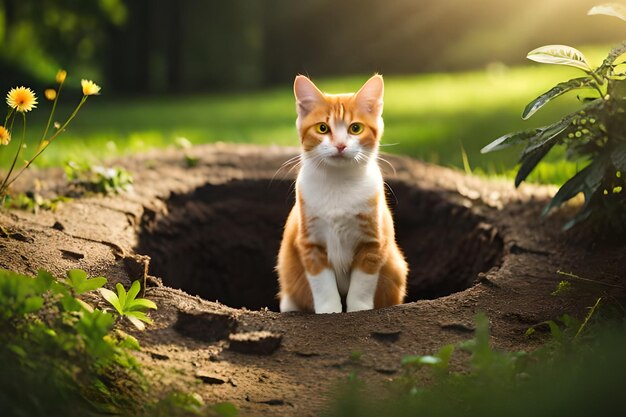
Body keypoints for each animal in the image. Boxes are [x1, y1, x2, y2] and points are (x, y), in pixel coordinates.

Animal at [276, 74, 408, 312]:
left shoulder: (372, 242)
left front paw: (358, 310)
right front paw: (330, 311)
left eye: (355, 128)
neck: (338, 184)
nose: (340, 145)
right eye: (322, 128)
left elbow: (362, 284)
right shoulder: (311, 243)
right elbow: (322, 284)